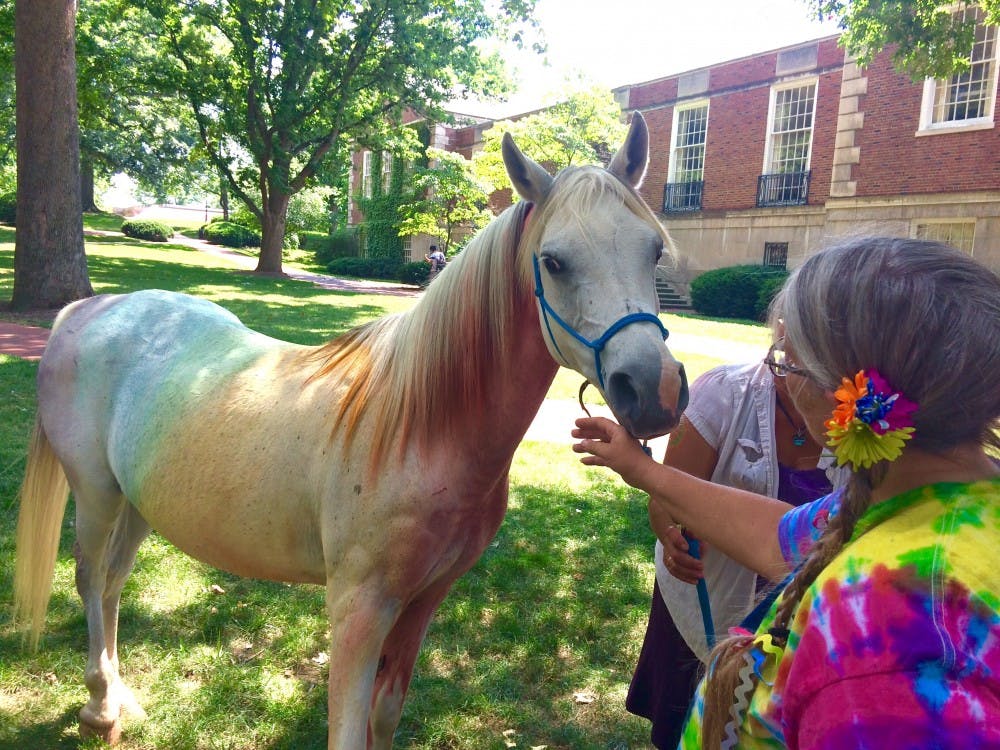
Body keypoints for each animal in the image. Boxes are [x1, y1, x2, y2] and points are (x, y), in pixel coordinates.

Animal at [13, 112, 688, 749]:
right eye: (553, 262)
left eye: (653, 251)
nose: (653, 390)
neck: (421, 429)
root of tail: (88, 310)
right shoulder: (359, 608)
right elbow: (347, 726)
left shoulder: (424, 599)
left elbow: (384, 714)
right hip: (96, 494)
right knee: (90, 577)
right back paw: (100, 708)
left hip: (138, 501)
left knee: (113, 583)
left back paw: (120, 696)